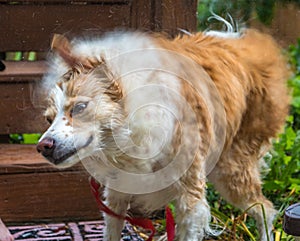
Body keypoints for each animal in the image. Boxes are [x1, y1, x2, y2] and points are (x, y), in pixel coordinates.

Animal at [36, 28, 290, 241]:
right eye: (48, 119)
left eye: (79, 108)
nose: (43, 146)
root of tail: (241, 43)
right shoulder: (117, 193)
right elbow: (112, 231)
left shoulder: (190, 198)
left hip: (232, 172)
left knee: (265, 208)